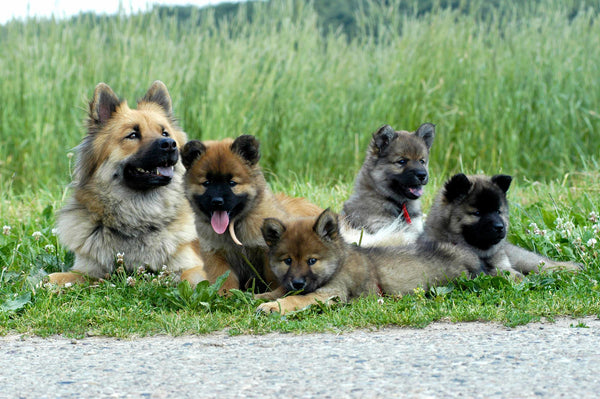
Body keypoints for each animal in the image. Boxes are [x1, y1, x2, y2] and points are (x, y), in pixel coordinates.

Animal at [49, 81, 204, 286]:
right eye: (132, 135)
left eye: (165, 132)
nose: (170, 144)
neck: (139, 219)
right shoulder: (87, 269)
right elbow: (54, 277)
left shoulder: (193, 265)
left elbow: (188, 277)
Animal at [180, 136, 322, 292]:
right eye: (206, 183)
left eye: (232, 183)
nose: (217, 201)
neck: (235, 226)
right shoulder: (216, 255)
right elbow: (224, 280)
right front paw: (225, 295)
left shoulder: (267, 252)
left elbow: (273, 279)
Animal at [255, 209, 480, 316]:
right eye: (288, 260)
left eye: (312, 261)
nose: (298, 283)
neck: (338, 264)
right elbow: (280, 291)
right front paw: (261, 296)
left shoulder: (330, 294)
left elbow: (297, 299)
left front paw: (273, 306)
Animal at [422, 173, 580, 280]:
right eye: (477, 213)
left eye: (498, 211)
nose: (499, 227)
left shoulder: (503, 264)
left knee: (542, 263)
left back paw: (571, 268)